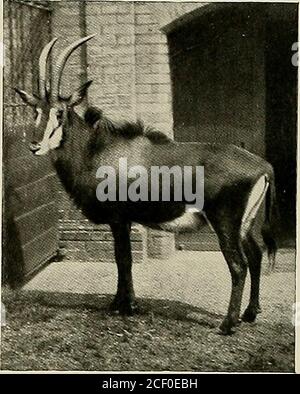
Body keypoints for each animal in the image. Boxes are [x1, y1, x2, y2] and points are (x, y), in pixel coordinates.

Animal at [15, 36, 278, 336]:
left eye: (59, 112)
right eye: (36, 110)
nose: (35, 145)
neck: (96, 150)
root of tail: (263, 166)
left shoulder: (119, 219)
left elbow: (123, 259)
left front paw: (125, 306)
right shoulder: (124, 220)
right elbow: (122, 259)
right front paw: (119, 303)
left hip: (225, 222)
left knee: (238, 265)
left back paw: (227, 324)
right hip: (245, 224)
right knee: (255, 255)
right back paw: (250, 313)